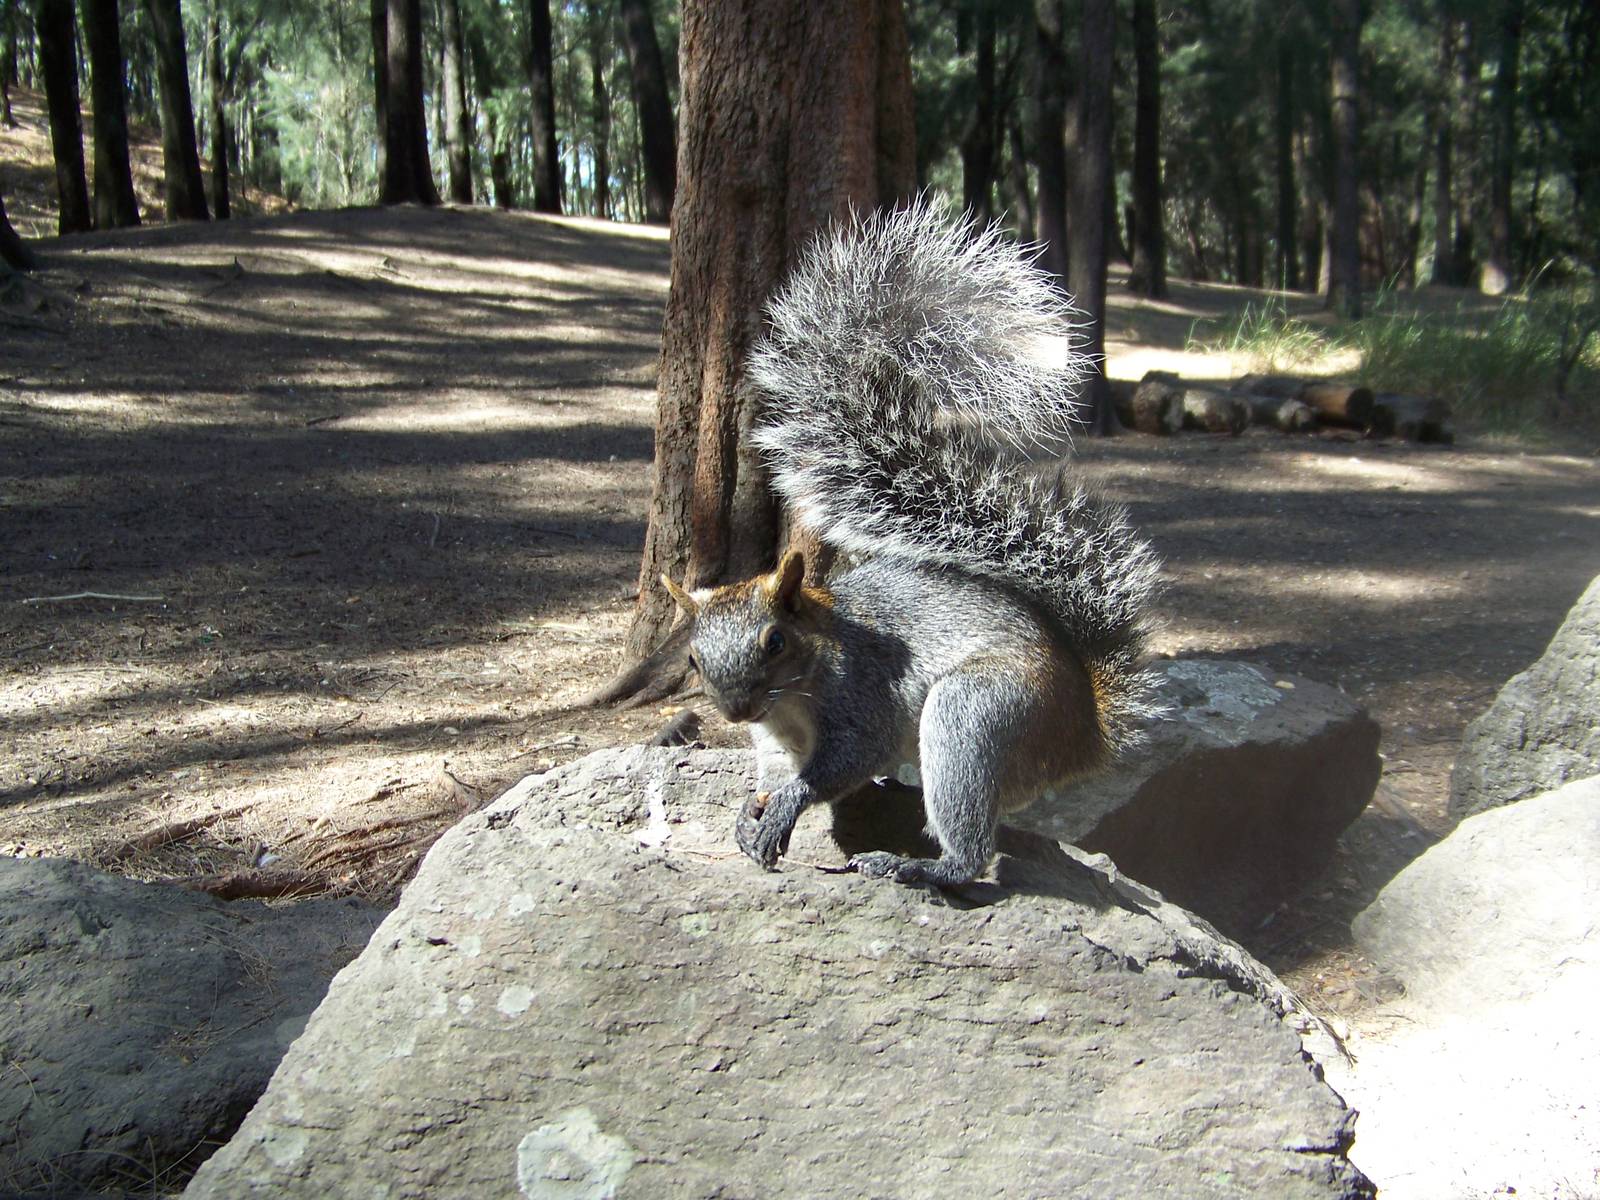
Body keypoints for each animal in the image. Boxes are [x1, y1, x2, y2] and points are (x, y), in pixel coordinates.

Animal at [660, 204, 1161, 887]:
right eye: (690, 657)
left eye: (775, 641)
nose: (735, 711)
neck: (791, 703)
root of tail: (1086, 730)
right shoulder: (772, 740)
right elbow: (770, 773)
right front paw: (752, 808)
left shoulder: (864, 695)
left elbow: (846, 761)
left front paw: (788, 802)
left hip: (974, 714)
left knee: (972, 851)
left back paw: (919, 868)